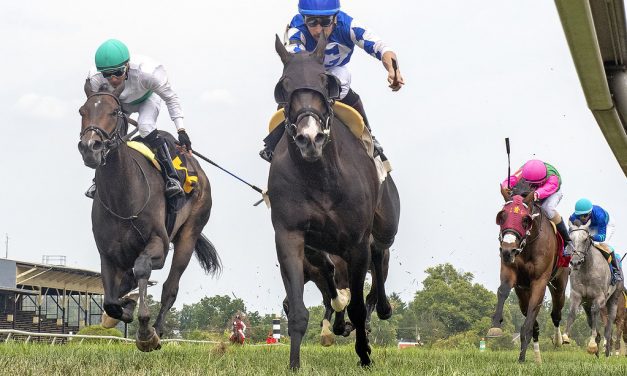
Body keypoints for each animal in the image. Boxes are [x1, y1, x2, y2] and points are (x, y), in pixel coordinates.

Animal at [77, 81, 222, 352]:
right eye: (82, 111)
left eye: (114, 111)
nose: (90, 147)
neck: (122, 198)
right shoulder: (107, 255)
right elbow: (110, 299)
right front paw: (124, 309)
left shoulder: (159, 245)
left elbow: (142, 268)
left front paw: (145, 331)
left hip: (189, 233)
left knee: (170, 287)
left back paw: (157, 328)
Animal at [268, 33, 400, 368]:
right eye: (284, 85)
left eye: (323, 80)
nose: (309, 137)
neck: (321, 178)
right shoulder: (289, 234)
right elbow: (297, 309)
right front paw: (294, 365)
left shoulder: (356, 240)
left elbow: (356, 305)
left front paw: (364, 355)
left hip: (385, 226)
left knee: (379, 253)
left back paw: (382, 307)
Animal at [488, 189, 572, 362]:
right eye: (502, 216)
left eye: (525, 220)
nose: (507, 251)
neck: (528, 245)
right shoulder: (511, 273)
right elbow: (503, 291)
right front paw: (495, 327)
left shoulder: (539, 281)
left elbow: (530, 320)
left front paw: (521, 359)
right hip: (522, 293)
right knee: (536, 324)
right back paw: (537, 358)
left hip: (559, 284)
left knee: (556, 314)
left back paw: (559, 340)